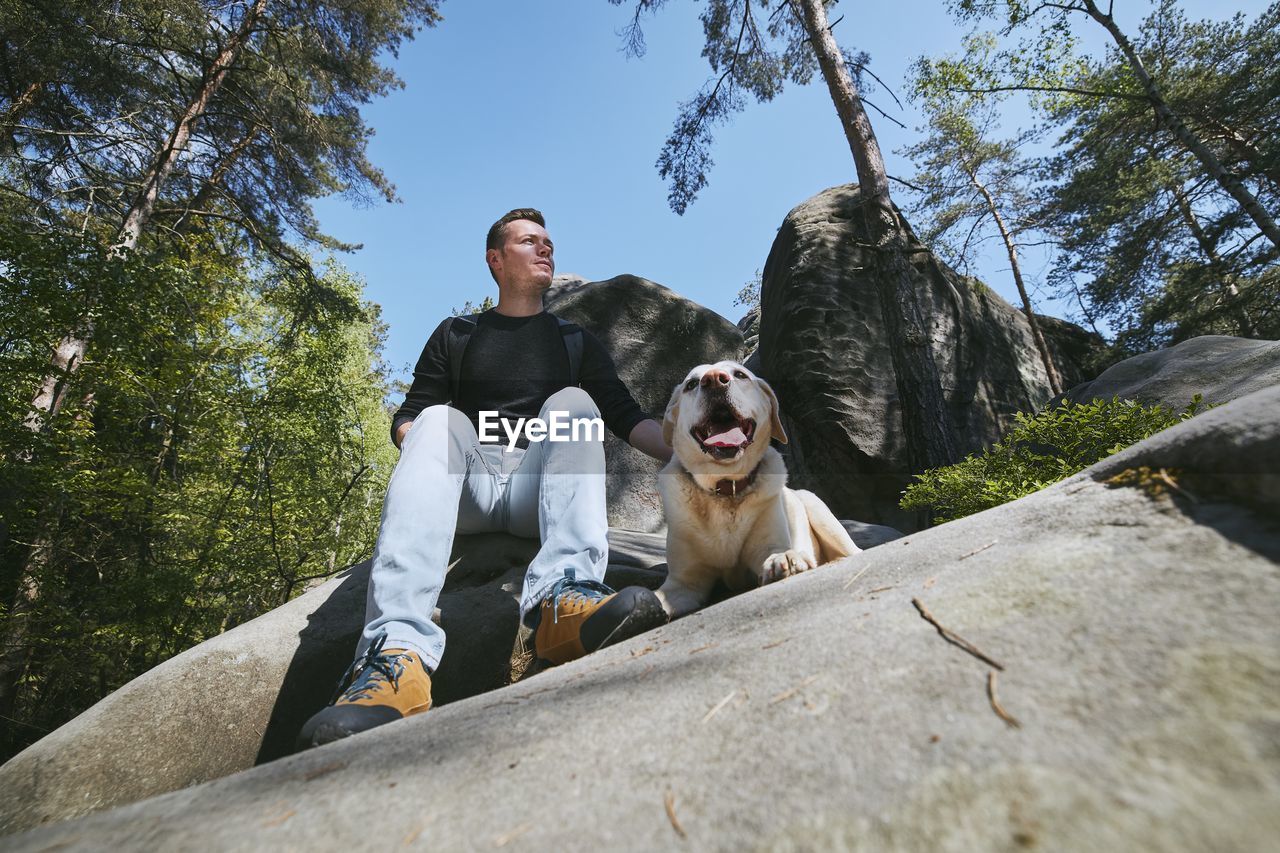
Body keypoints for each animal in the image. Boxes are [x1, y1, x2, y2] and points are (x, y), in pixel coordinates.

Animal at [655, 356, 855, 614]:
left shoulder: (767, 545)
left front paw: (786, 559)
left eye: (740, 375)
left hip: (818, 510)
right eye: (691, 384)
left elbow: (776, 552)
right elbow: (660, 596)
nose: (714, 379)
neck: (726, 488)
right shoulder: (683, 582)